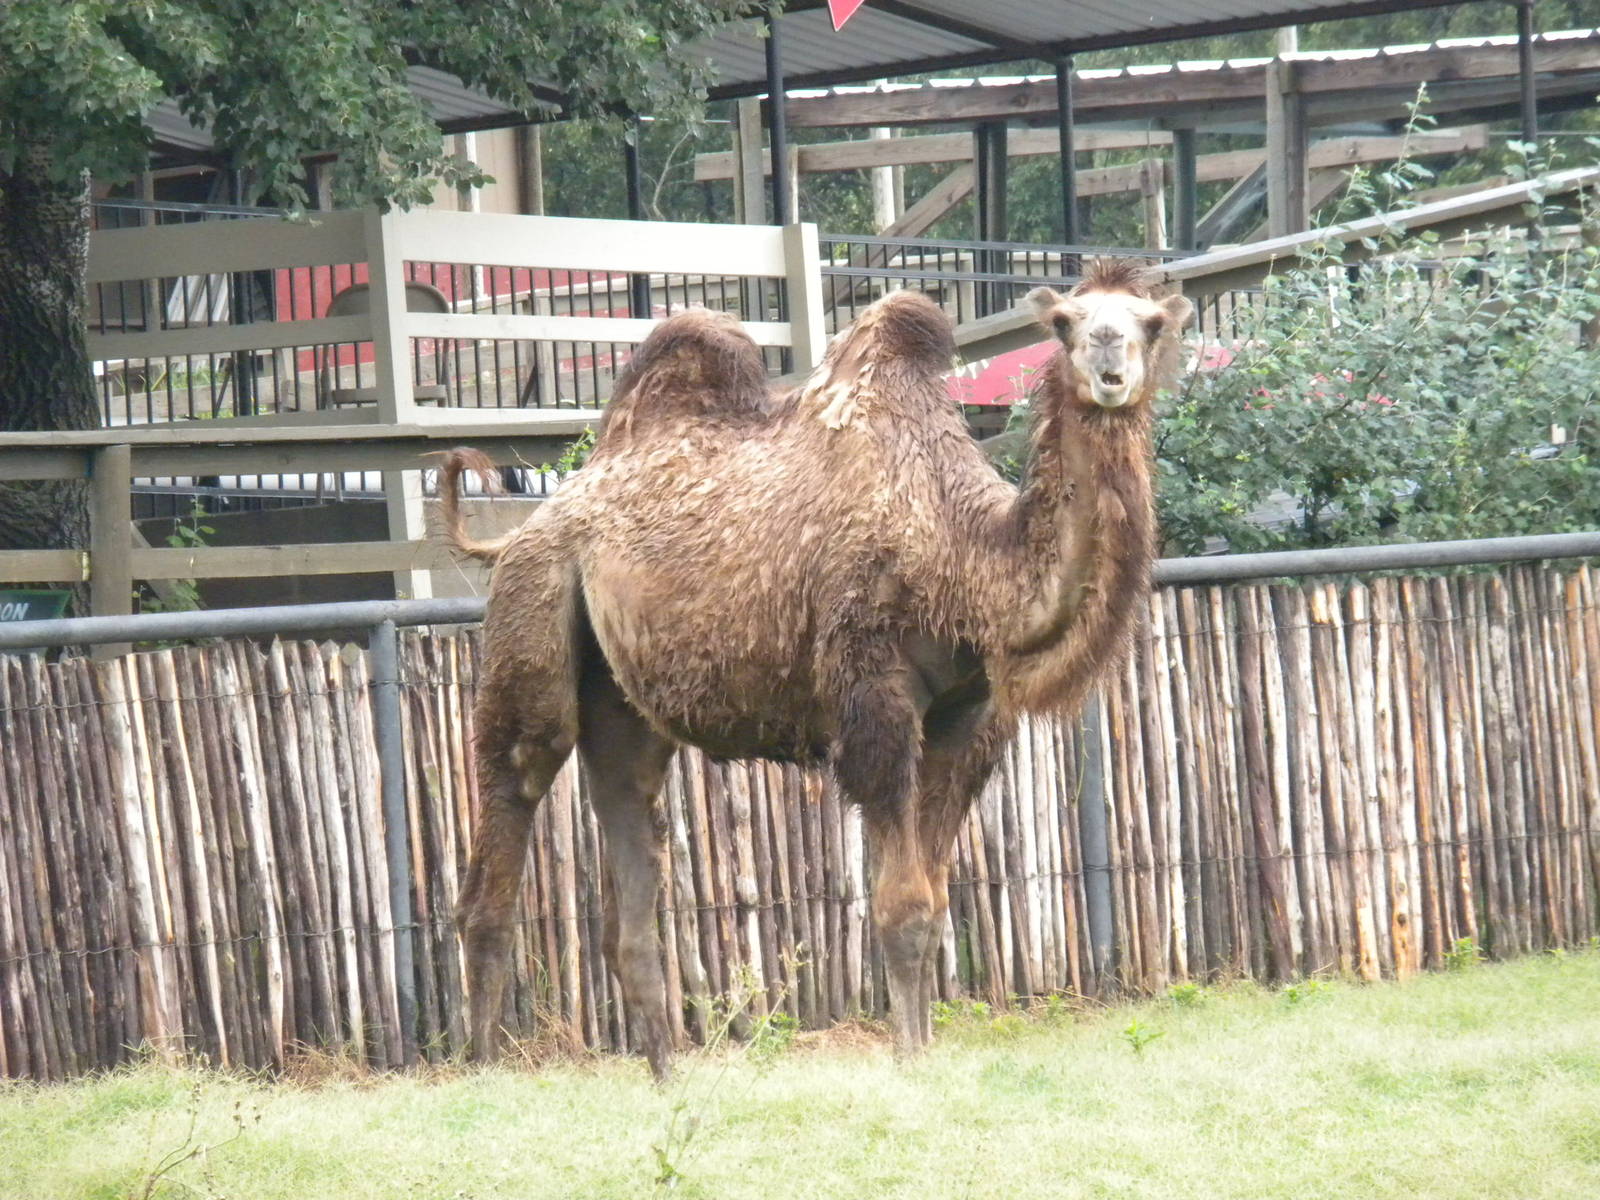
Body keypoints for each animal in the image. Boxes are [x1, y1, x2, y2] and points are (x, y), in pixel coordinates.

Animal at [439, 261, 1192, 1079]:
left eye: (1152, 322)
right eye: (1066, 324)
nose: (1110, 365)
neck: (962, 560)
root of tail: (520, 529)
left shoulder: (969, 725)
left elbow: (935, 904)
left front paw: (922, 1052)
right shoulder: (874, 703)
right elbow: (902, 907)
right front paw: (910, 1060)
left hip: (622, 702)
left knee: (626, 848)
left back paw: (666, 1079)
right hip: (533, 612)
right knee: (508, 808)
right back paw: (483, 1070)